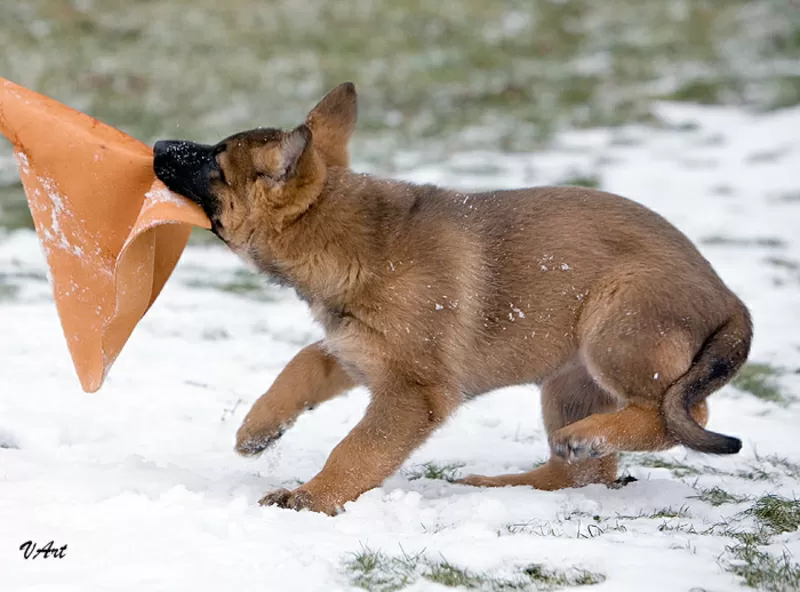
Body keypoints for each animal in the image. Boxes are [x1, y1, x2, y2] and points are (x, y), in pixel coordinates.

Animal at [153, 82, 752, 512]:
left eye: (214, 160)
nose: (157, 143)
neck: (349, 238)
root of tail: (731, 299)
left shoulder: (414, 391)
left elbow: (358, 448)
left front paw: (311, 497)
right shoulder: (357, 351)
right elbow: (300, 364)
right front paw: (258, 430)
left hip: (616, 326)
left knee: (682, 410)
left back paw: (582, 439)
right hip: (570, 379)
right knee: (584, 474)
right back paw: (512, 480)